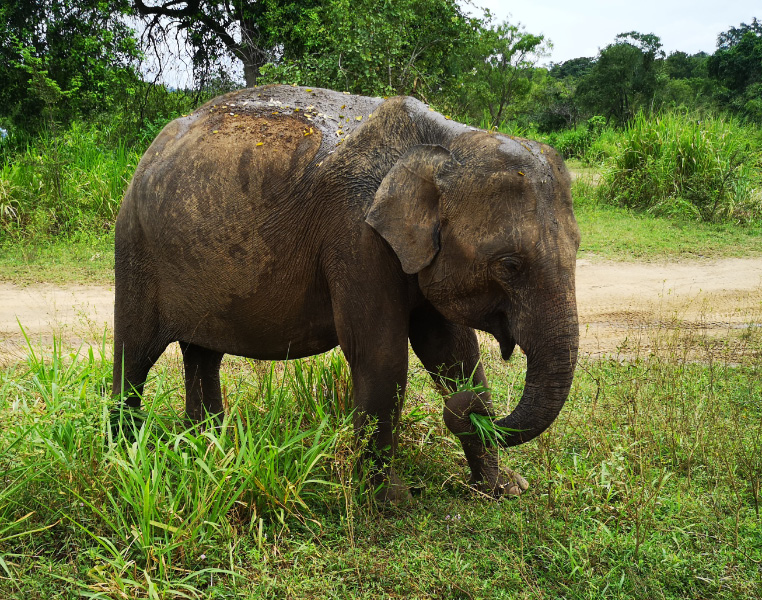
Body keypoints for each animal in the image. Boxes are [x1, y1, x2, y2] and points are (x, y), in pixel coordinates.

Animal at [113, 84, 580, 503]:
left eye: (578, 249)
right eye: (509, 265)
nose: (468, 413)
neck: (443, 142)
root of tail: (149, 153)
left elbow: (454, 353)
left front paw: (501, 489)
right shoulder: (355, 235)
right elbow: (382, 357)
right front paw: (389, 500)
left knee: (203, 355)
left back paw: (207, 448)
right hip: (135, 246)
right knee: (134, 354)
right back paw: (126, 452)